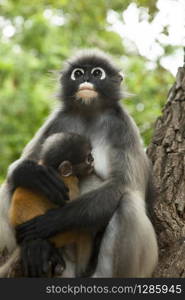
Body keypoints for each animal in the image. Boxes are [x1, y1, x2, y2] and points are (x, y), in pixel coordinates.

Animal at [0, 132, 94, 278]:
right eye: (88, 158)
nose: (93, 160)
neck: (55, 169)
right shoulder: (70, 182)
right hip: (59, 236)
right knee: (82, 229)